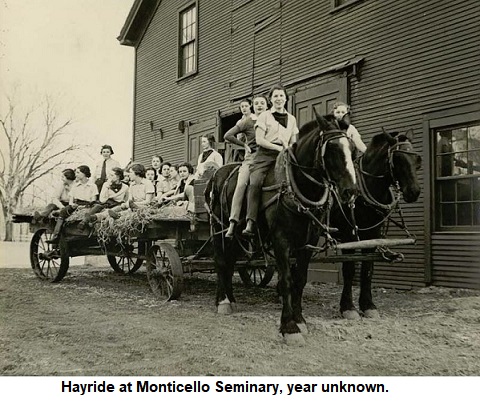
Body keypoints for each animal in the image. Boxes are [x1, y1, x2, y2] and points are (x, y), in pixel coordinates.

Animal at [204, 112, 358, 344]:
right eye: (332, 149)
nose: (351, 191)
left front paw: (300, 320)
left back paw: (229, 299)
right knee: (221, 262)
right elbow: (285, 280)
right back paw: (222, 301)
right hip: (219, 228)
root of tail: (216, 175)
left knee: (230, 263)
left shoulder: (308, 242)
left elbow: (300, 280)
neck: (295, 186)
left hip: (237, 236)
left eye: (352, 149)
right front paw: (289, 327)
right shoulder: (281, 240)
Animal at [332, 128, 422, 318]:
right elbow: (349, 269)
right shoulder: (349, 234)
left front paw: (368, 305)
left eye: (417, 159)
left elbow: (368, 268)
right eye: (398, 159)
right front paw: (348, 307)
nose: (414, 191)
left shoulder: (372, 234)